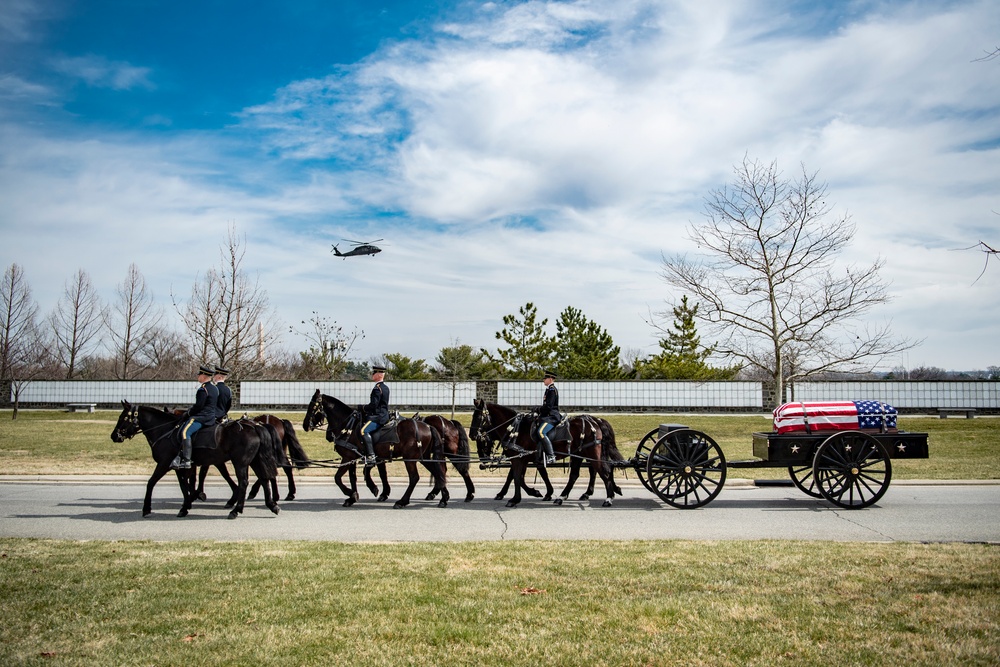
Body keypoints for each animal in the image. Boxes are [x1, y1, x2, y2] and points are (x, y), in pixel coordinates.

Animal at [111, 400, 280, 520]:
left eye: (123, 417)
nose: (114, 436)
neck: (165, 430)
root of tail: (255, 426)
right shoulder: (181, 466)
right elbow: (184, 484)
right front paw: (187, 504)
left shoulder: (164, 463)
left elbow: (151, 482)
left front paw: (146, 508)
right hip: (254, 460)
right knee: (263, 479)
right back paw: (271, 505)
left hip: (241, 462)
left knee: (244, 482)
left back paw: (236, 510)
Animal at [300, 388, 450, 508]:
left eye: (312, 406)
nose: (305, 425)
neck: (348, 426)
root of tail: (428, 426)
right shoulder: (353, 457)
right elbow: (353, 477)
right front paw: (353, 497)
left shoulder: (348, 457)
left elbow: (338, 478)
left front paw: (353, 493)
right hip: (422, 457)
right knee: (438, 473)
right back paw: (443, 498)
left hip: (410, 459)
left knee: (415, 478)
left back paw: (402, 501)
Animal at [466, 400, 616, 508]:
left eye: (478, 416)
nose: (472, 435)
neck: (516, 429)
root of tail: (595, 422)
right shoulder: (524, 458)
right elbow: (518, 477)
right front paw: (536, 492)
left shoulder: (520, 459)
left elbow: (516, 477)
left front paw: (514, 499)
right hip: (578, 455)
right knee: (576, 475)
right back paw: (562, 497)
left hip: (592, 454)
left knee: (604, 472)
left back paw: (608, 498)